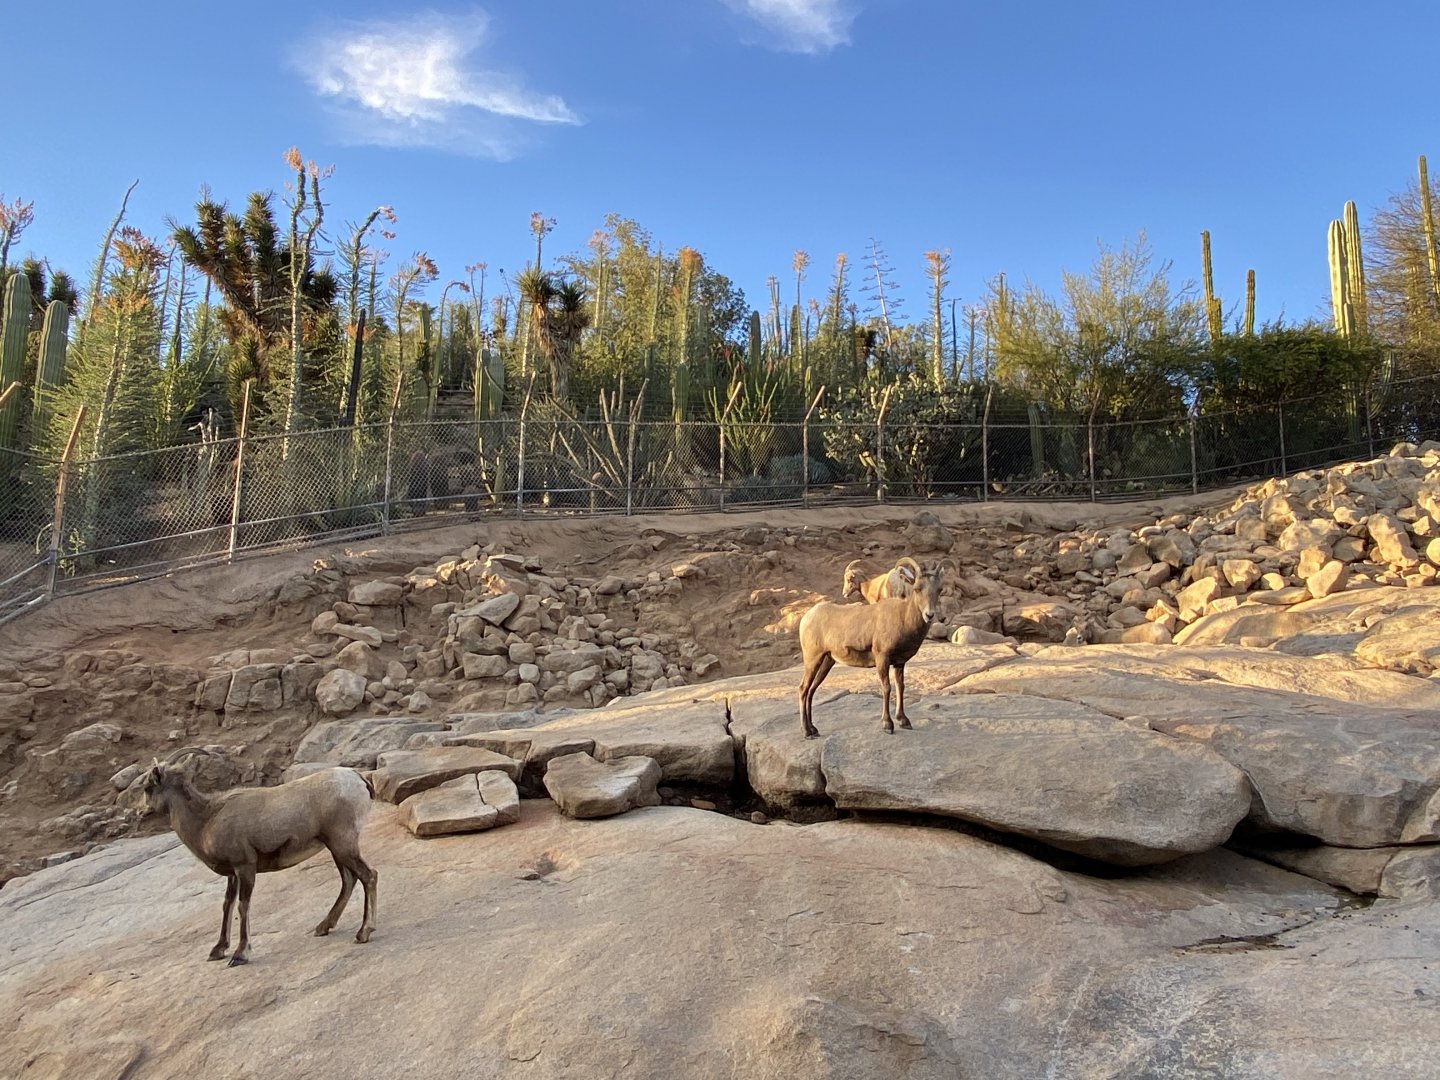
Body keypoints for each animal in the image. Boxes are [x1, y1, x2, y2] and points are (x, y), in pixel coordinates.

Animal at [138, 747, 377, 966]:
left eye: (148, 787)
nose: (141, 812)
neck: (207, 819)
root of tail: (359, 779)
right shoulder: (232, 874)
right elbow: (227, 904)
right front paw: (218, 950)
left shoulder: (245, 867)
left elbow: (243, 906)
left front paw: (239, 955)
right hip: (336, 848)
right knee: (349, 880)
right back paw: (323, 927)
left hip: (342, 845)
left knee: (369, 876)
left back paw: (363, 933)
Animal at [799, 559, 953, 738]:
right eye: (917, 588)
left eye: (939, 590)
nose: (929, 615)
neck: (903, 617)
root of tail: (806, 618)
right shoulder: (882, 658)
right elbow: (886, 688)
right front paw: (888, 725)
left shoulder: (899, 662)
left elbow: (900, 687)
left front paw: (904, 721)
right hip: (813, 658)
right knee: (803, 689)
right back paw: (806, 731)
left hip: (826, 661)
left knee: (811, 690)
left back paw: (814, 729)